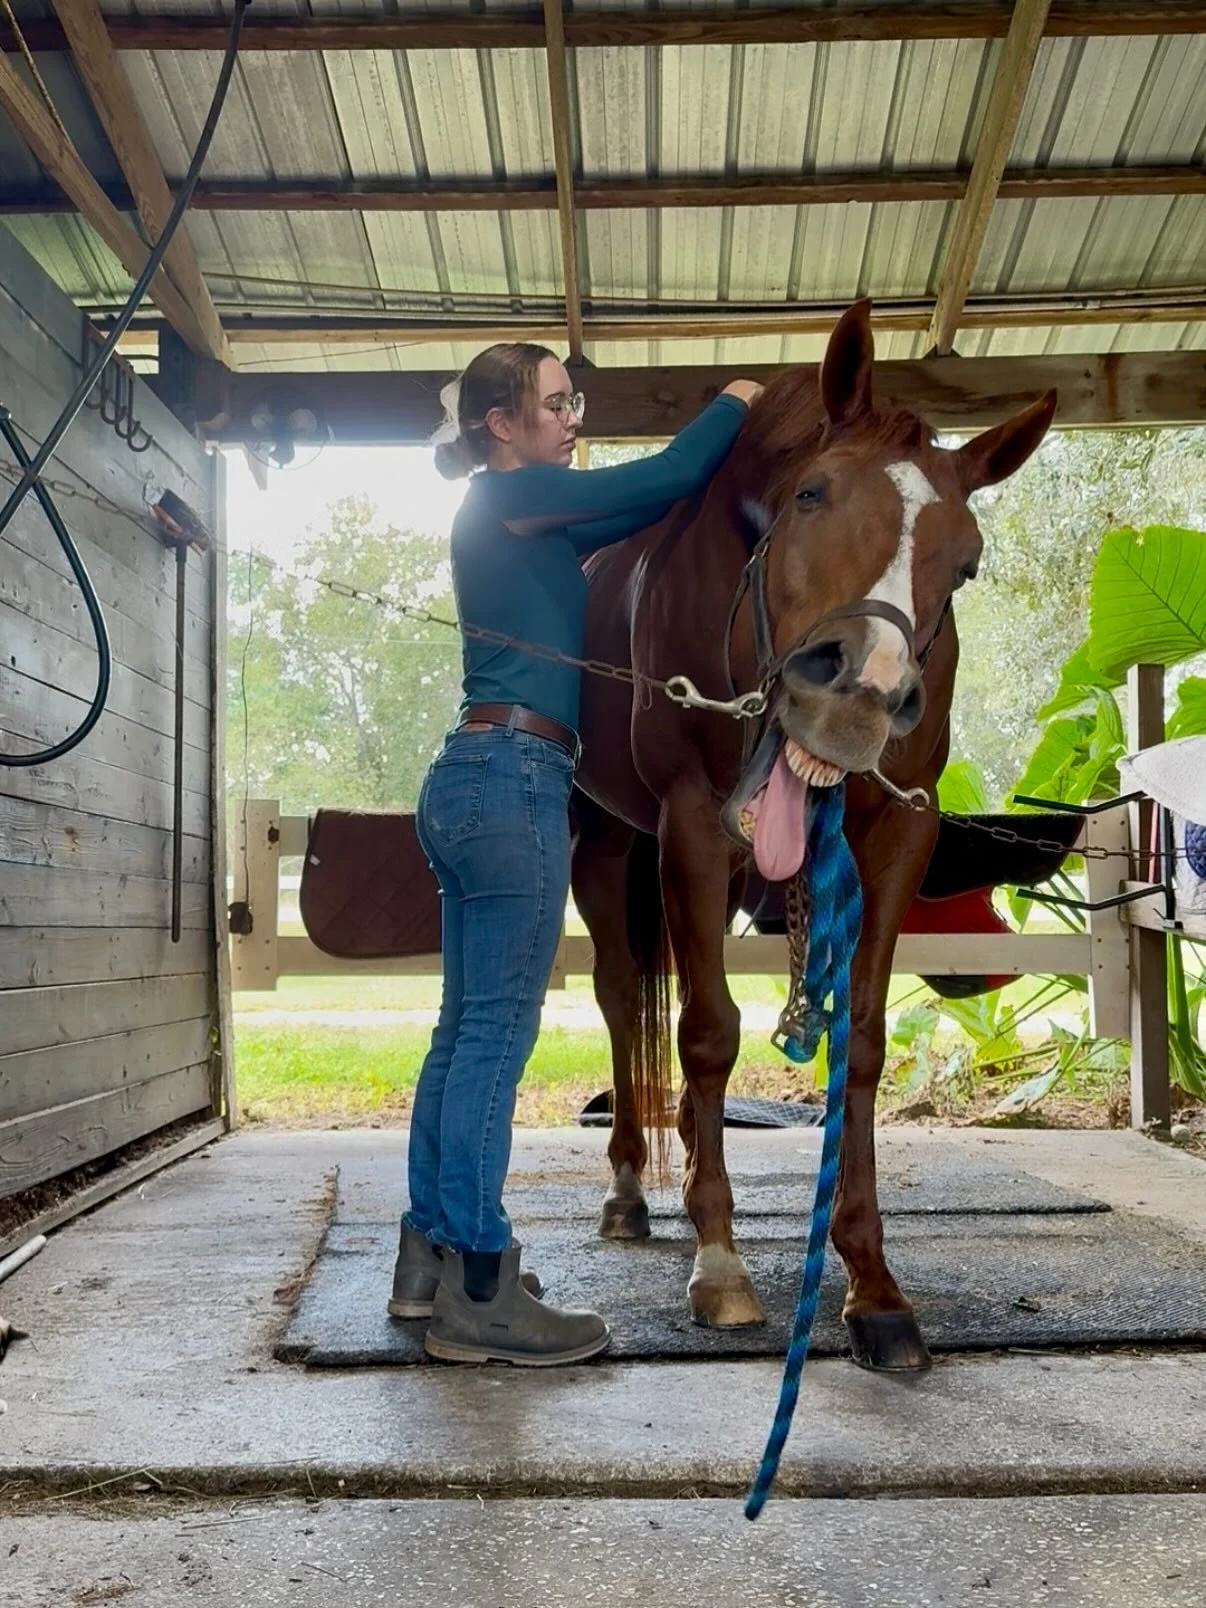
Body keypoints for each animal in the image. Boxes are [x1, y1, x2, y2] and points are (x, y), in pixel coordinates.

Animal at [570, 299, 1055, 1371]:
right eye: (811, 493)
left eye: (967, 562)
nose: (858, 696)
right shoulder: (693, 824)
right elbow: (708, 1033)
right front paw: (719, 1261)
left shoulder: (894, 833)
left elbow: (859, 1042)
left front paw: (872, 1282)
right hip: (606, 840)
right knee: (624, 999)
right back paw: (629, 1190)